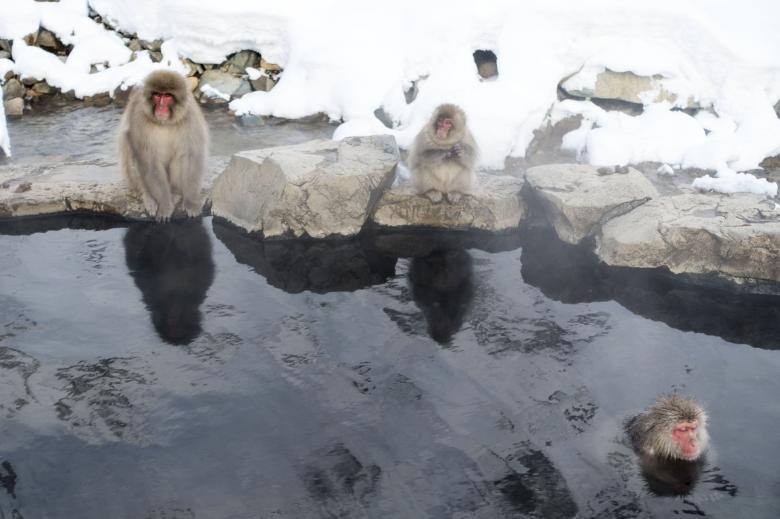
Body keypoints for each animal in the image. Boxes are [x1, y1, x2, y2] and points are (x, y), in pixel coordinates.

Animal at [118, 70, 208, 222]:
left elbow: (191, 156)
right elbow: (149, 161)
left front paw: (191, 202)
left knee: (181, 156)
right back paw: (149, 197)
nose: (160, 107)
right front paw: (165, 205)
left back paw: (176, 192)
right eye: (157, 95)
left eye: (167, 96)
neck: (164, 122)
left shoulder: (190, 116)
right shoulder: (139, 117)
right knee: (131, 150)